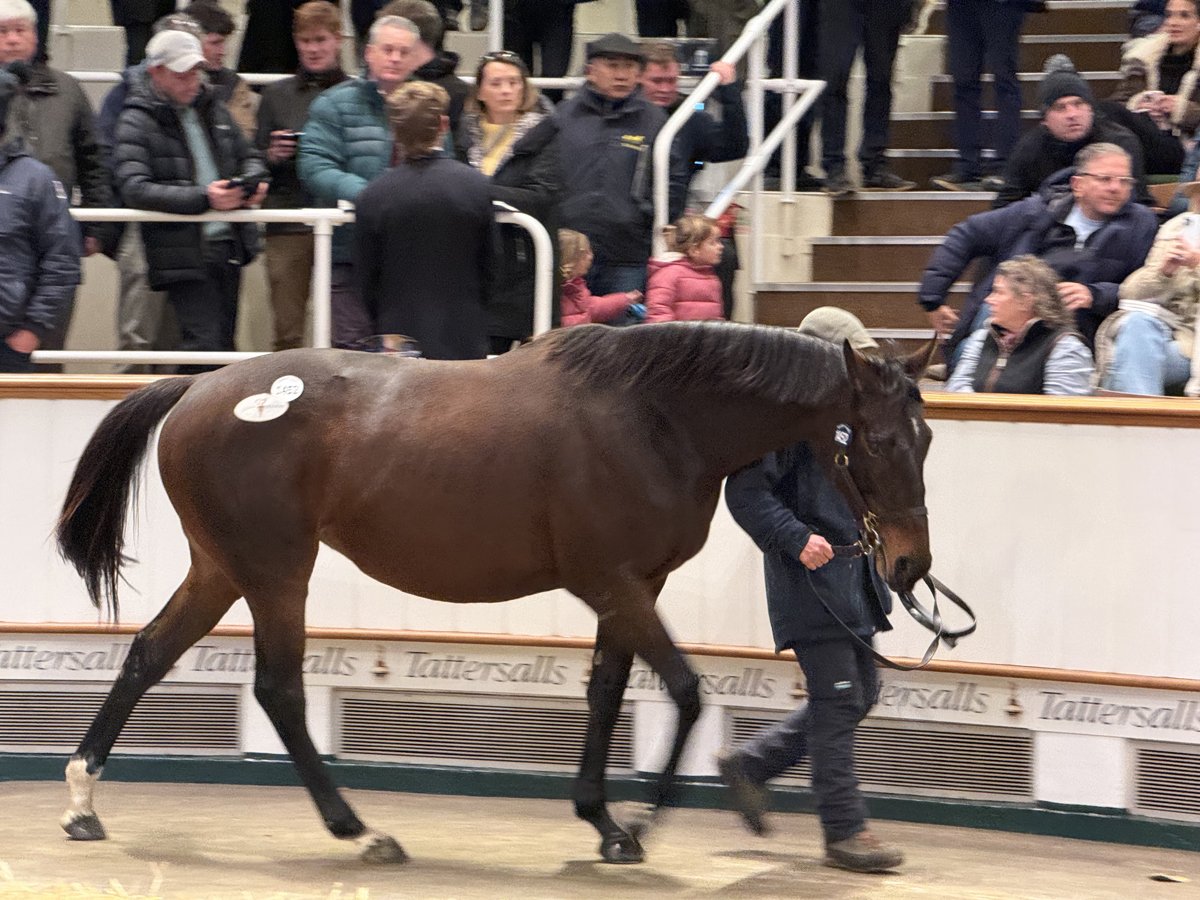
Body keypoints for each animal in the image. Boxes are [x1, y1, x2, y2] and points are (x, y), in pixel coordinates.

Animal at [55, 321, 935, 865]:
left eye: (926, 438)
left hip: (222, 569)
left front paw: (603, 820)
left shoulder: (630, 588)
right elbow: (685, 691)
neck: (656, 417)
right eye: (879, 439)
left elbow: (607, 693)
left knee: (148, 655)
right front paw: (642, 822)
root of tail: (197, 388)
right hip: (274, 572)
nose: (909, 567)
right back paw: (359, 831)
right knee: (278, 689)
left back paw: (83, 803)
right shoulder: (612, 582)